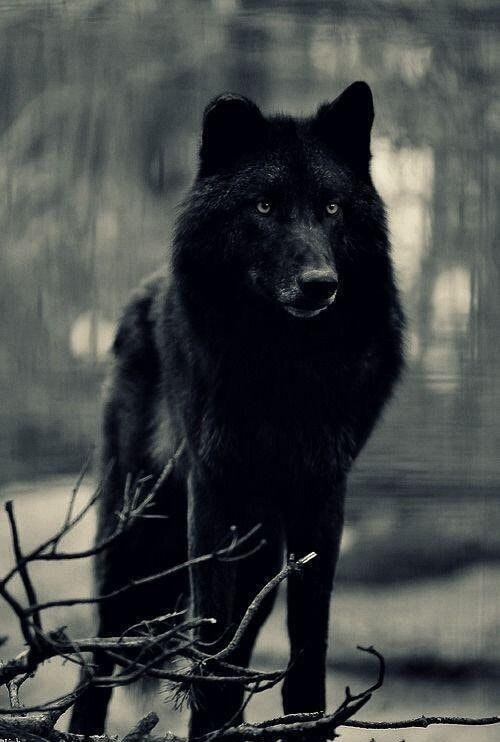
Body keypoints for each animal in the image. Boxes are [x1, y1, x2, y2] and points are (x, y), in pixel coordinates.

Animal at [69, 81, 404, 736]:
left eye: (331, 208)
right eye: (265, 207)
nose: (320, 283)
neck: (284, 365)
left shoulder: (322, 494)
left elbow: (307, 641)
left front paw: (304, 722)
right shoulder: (213, 492)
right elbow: (212, 637)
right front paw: (208, 722)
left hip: (261, 555)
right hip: (133, 542)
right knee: (100, 658)